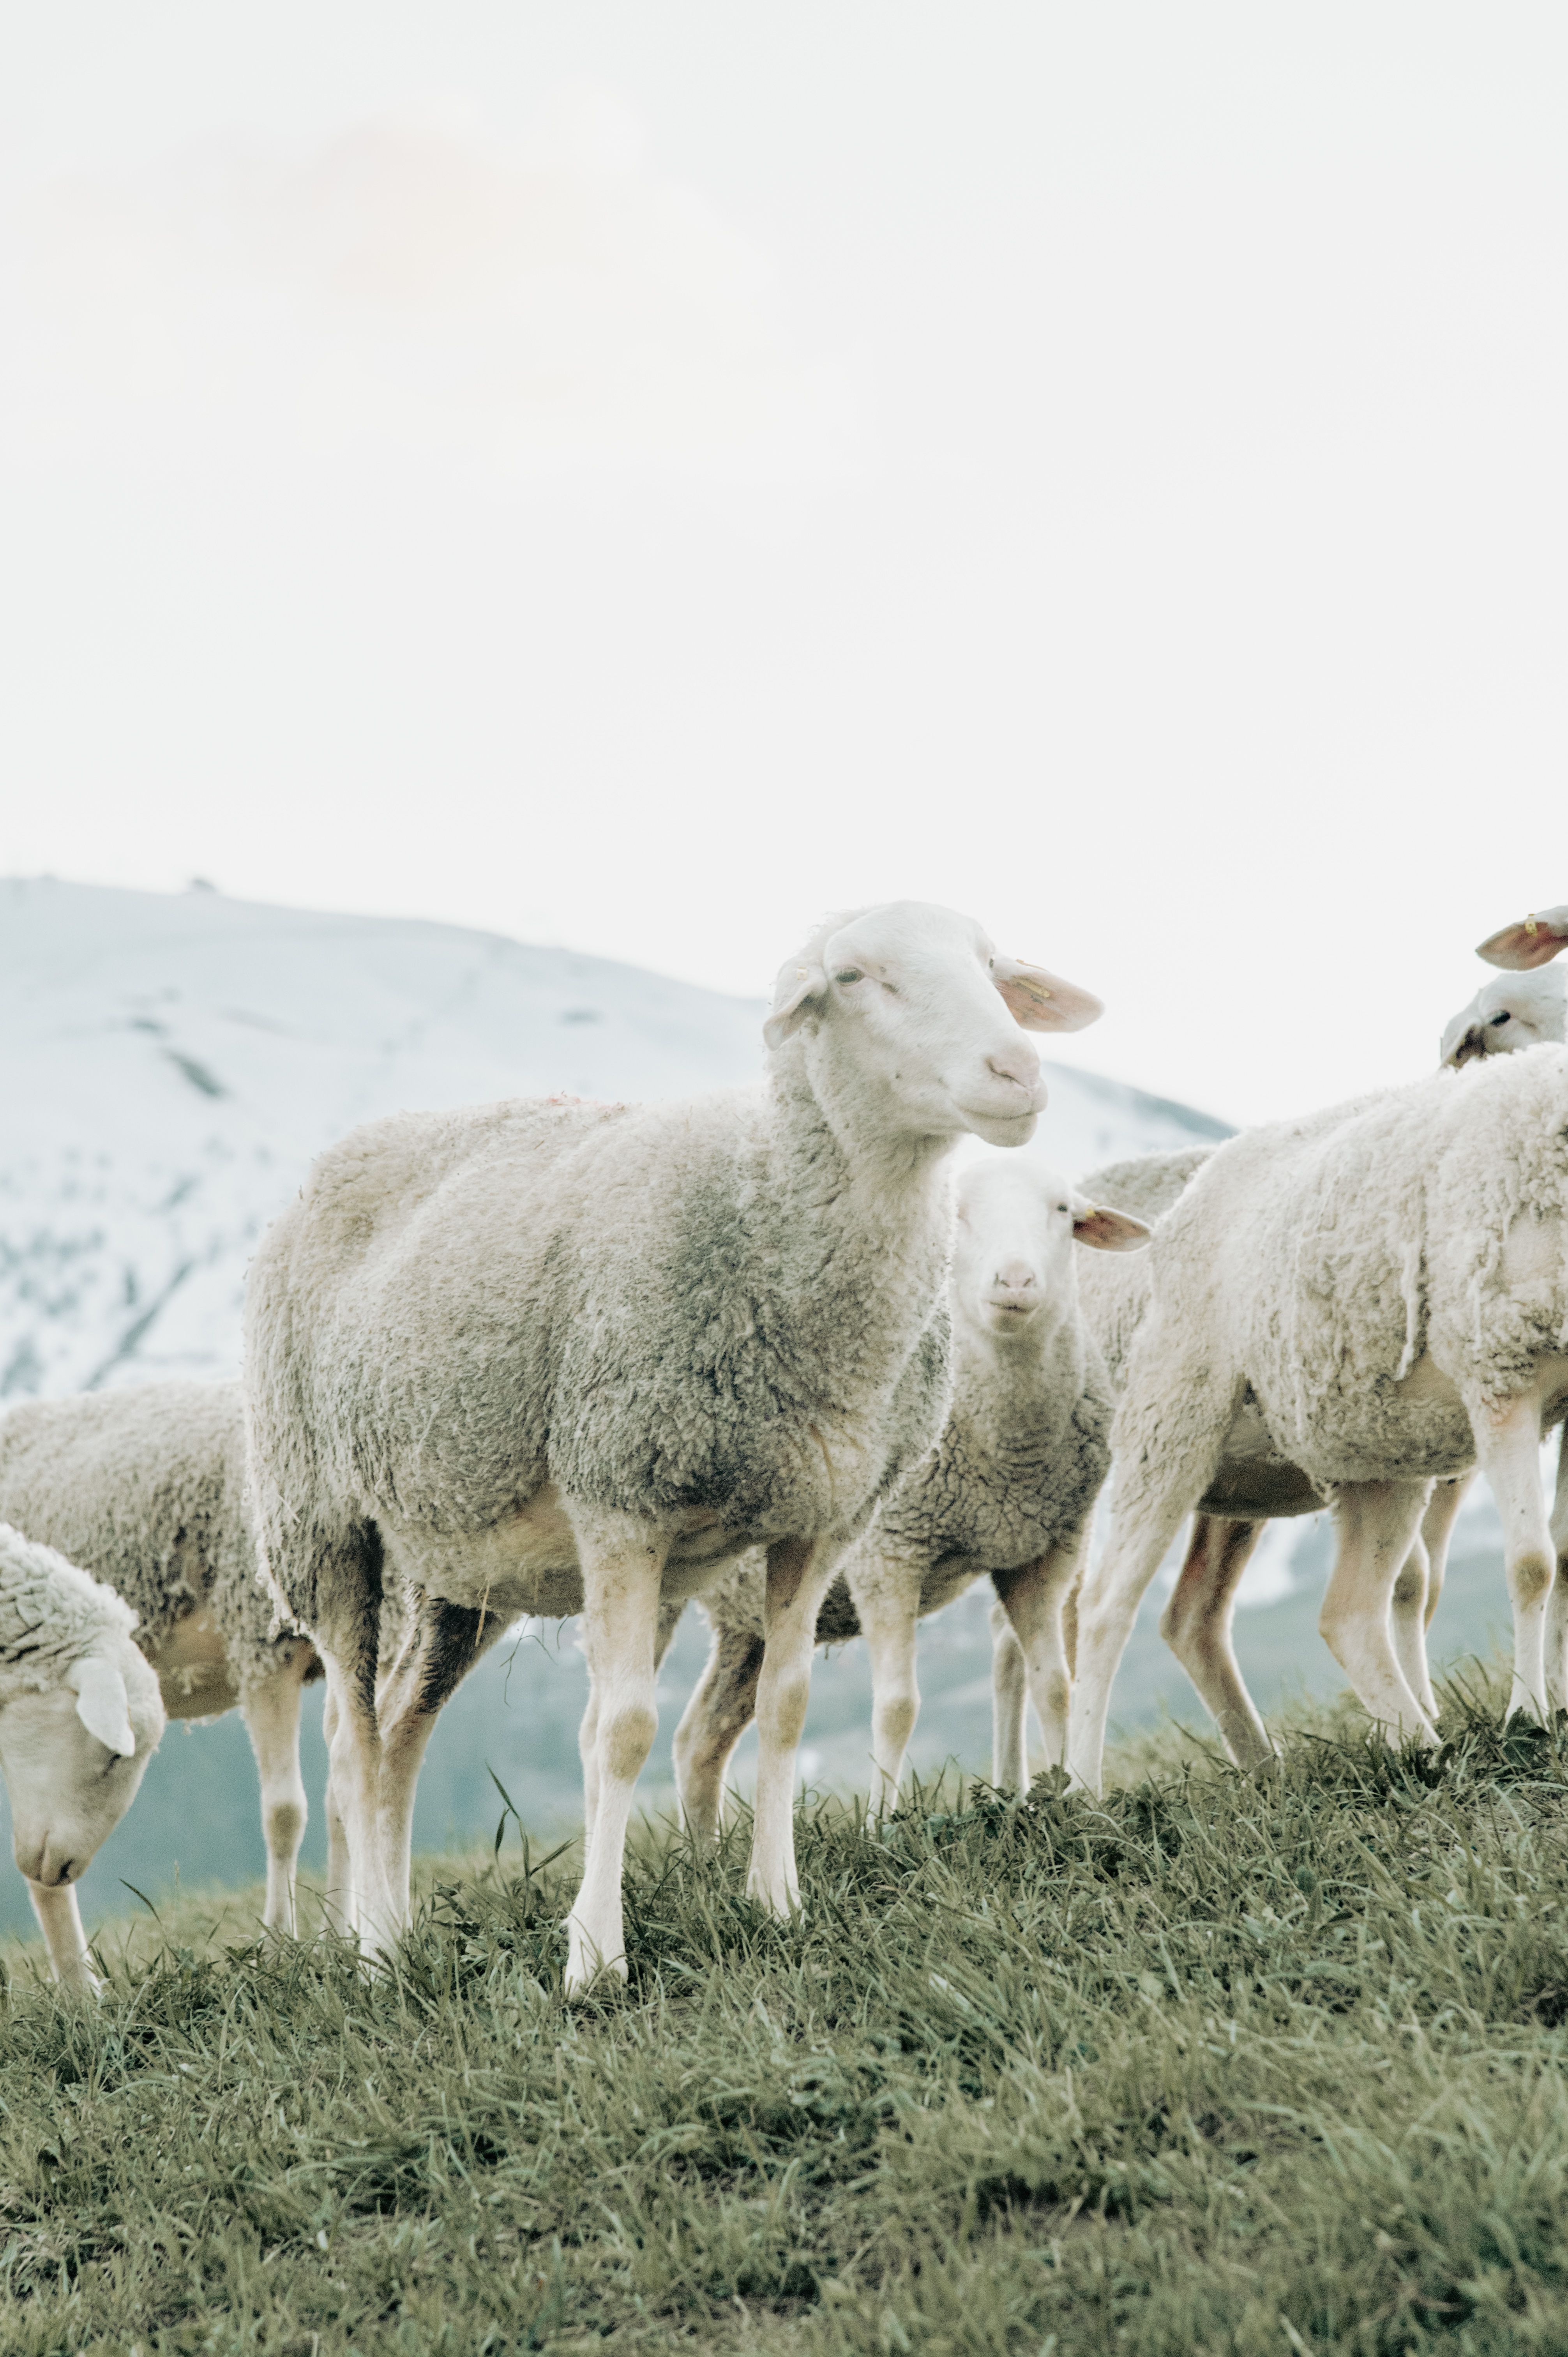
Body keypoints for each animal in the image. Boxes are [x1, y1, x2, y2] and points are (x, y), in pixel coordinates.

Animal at [664, 1157, 1148, 1832]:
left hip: (747, 1619)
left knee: (697, 1740)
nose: (1016, 1279)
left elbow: (1055, 1684)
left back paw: (706, 1853)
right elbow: (897, 1706)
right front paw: (879, 1828)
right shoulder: (889, 1556)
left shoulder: (1044, 1554)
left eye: (1063, 1212)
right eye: (958, 1214)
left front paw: (1070, 1804)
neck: (1009, 1451)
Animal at [1066, 1046, 1568, 1794]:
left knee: (1343, 1613)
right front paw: (1528, 1721)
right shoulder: (1499, 1371)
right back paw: (1080, 1789)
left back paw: (1418, 1749)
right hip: (1173, 1413)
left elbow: (1561, 1556)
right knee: (1103, 1610)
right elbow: (1531, 1563)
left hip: (1378, 1449)